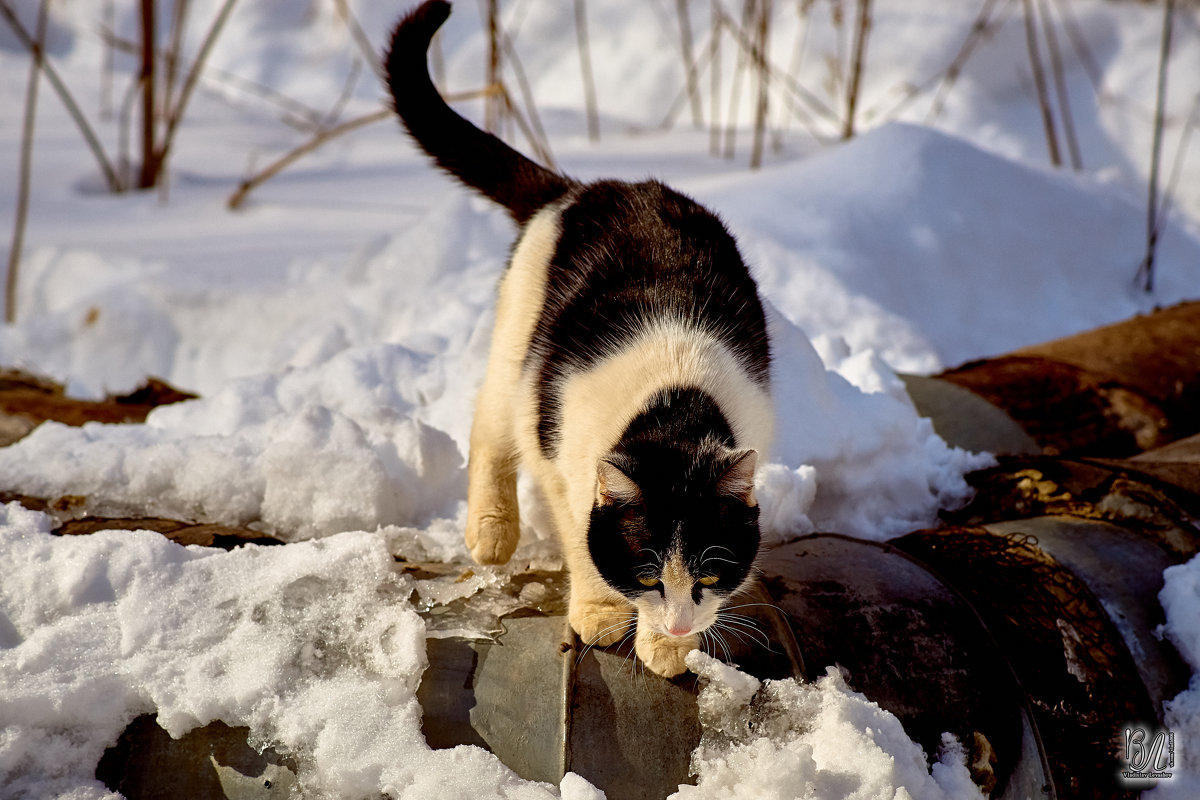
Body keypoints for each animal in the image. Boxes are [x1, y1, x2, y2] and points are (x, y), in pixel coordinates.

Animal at [386, 0, 777, 681]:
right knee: (489, 422)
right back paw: (492, 530)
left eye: (708, 575)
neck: (674, 404)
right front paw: (605, 613)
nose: (679, 621)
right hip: (520, 346)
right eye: (646, 575)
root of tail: (582, 189)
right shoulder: (558, 444)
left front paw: (671, 644)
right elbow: (577, 532)